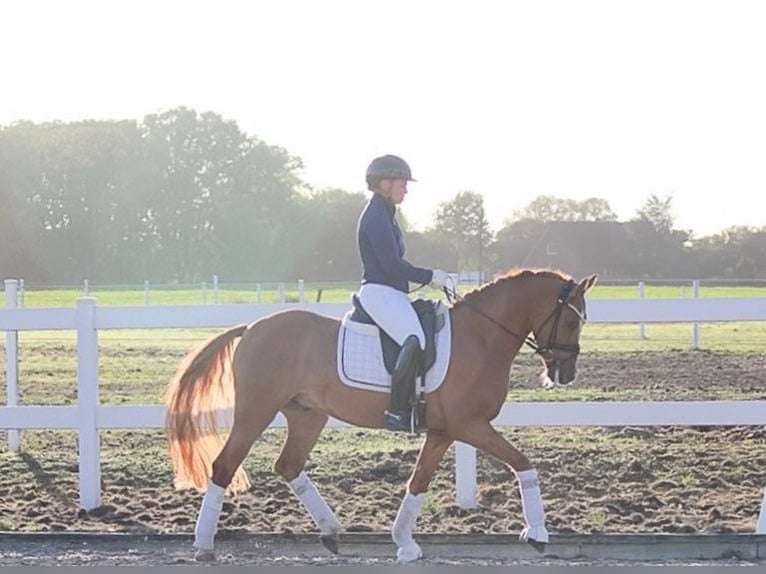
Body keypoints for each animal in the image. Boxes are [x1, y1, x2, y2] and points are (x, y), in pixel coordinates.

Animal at [166, 268, 600, 564]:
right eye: (571, 319)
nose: (565, 374)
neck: (480, 336)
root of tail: (252, 326)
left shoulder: (443, 431)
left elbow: (418, 482)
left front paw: (404, 543)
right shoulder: (470, 426)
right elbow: (523, 463)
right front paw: (538, 533)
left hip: (307, 415)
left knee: (288, 464)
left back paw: (332, 532)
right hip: (255, 412)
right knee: (224, 466)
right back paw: (203, 546)